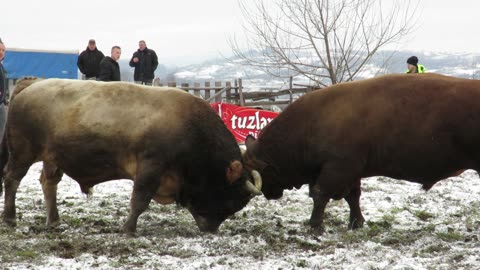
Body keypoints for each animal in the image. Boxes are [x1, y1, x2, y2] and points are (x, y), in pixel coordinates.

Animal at [0, 77, 262, 233]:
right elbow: (140, 200)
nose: (211, 229)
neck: (189, 126)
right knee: (11, 179)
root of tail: (31, 85)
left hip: (52, 159)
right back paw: (10, 218)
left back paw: (53, 220)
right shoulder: (150, 167)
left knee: (48, 183)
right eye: (233, 196)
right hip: (23, 154)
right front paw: (128, 229)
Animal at [244, 73, 480, 233]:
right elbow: (353, 196)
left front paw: (315, 226)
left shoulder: (338, 168)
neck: (311, 122)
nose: (268, 194)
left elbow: (321, 194)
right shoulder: (352, 171)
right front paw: (356, 223)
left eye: (254, 173)